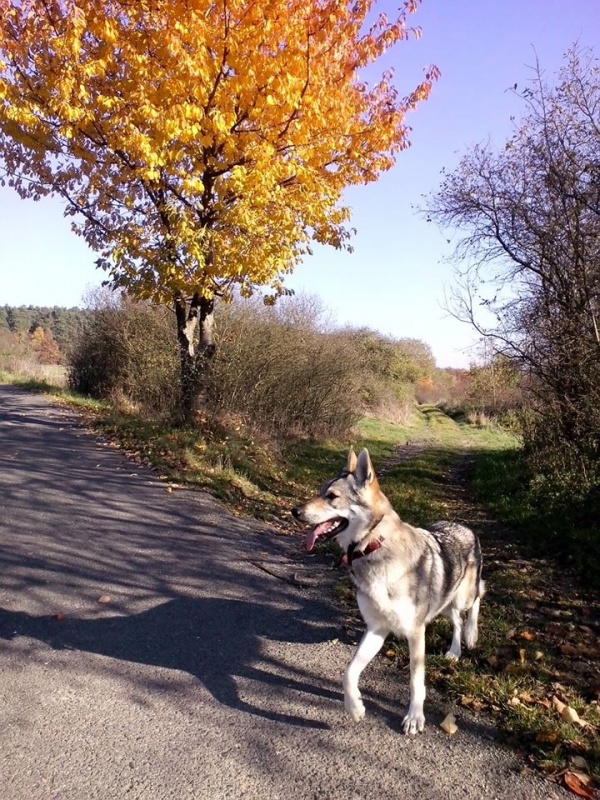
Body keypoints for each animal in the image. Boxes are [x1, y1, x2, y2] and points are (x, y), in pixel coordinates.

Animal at [292, 446, 486, 736]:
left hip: (461, 597)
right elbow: (348, 673)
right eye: (319, 491)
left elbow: (416, 681)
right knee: (456, 621)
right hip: (444, 603)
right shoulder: (376, 629)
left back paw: (470, 636)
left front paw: (415, 717)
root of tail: (464, 526)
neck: (373, 547)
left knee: (475, 601)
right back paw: (454, 651)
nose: (294, 511)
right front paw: (355, 708)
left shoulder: (416, 633)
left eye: (332, 497)